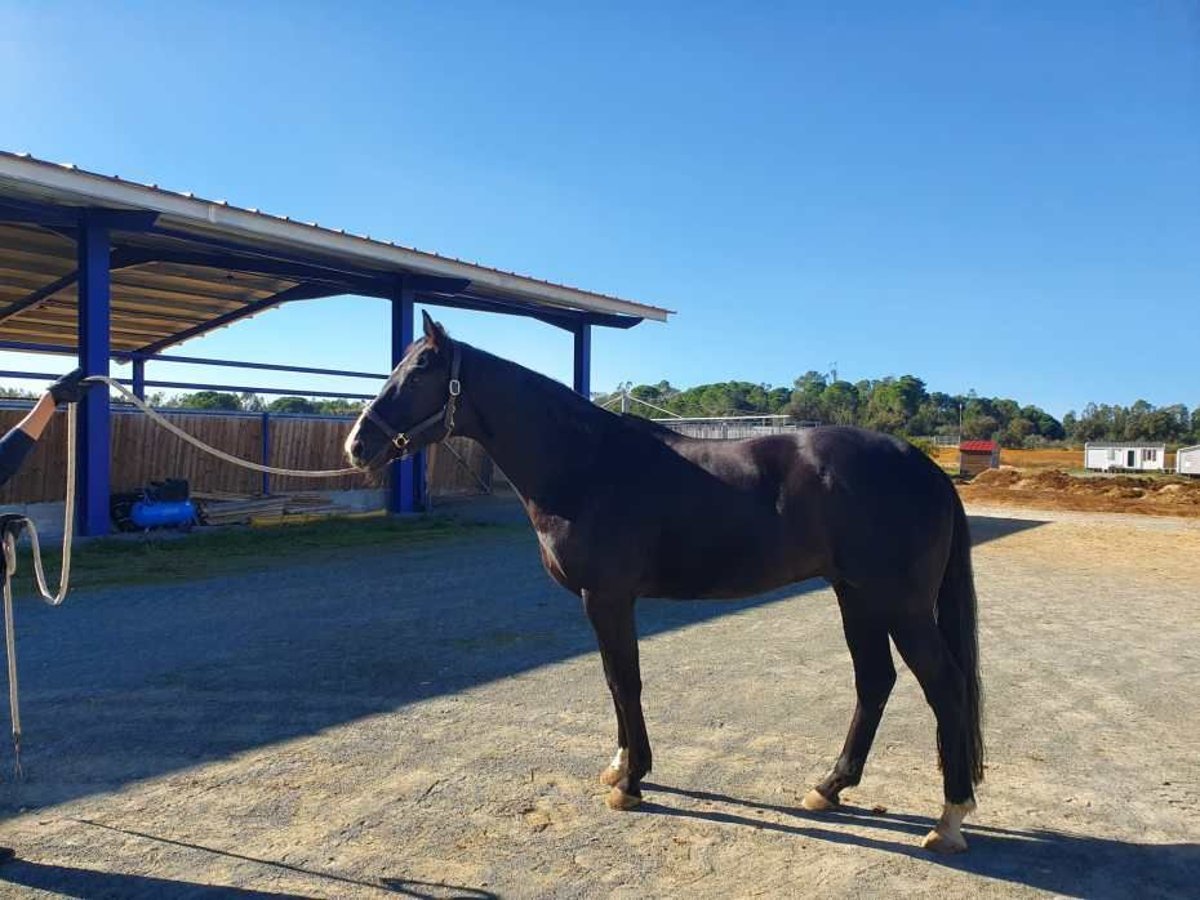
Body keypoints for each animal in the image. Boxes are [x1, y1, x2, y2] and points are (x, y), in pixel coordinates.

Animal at [348, 319, 984, 859]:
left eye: (421, 371)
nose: (357, 445)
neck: (586, 464)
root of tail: (924, 466)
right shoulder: (605, 602)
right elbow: (615, 682)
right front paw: (620, 766)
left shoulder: (607, 598)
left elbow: (623, 681)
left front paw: (631, 782)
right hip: (857, 597)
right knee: (875, 682)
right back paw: (828, 787)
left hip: (900, 605)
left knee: (946, 686)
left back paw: (949, 819)